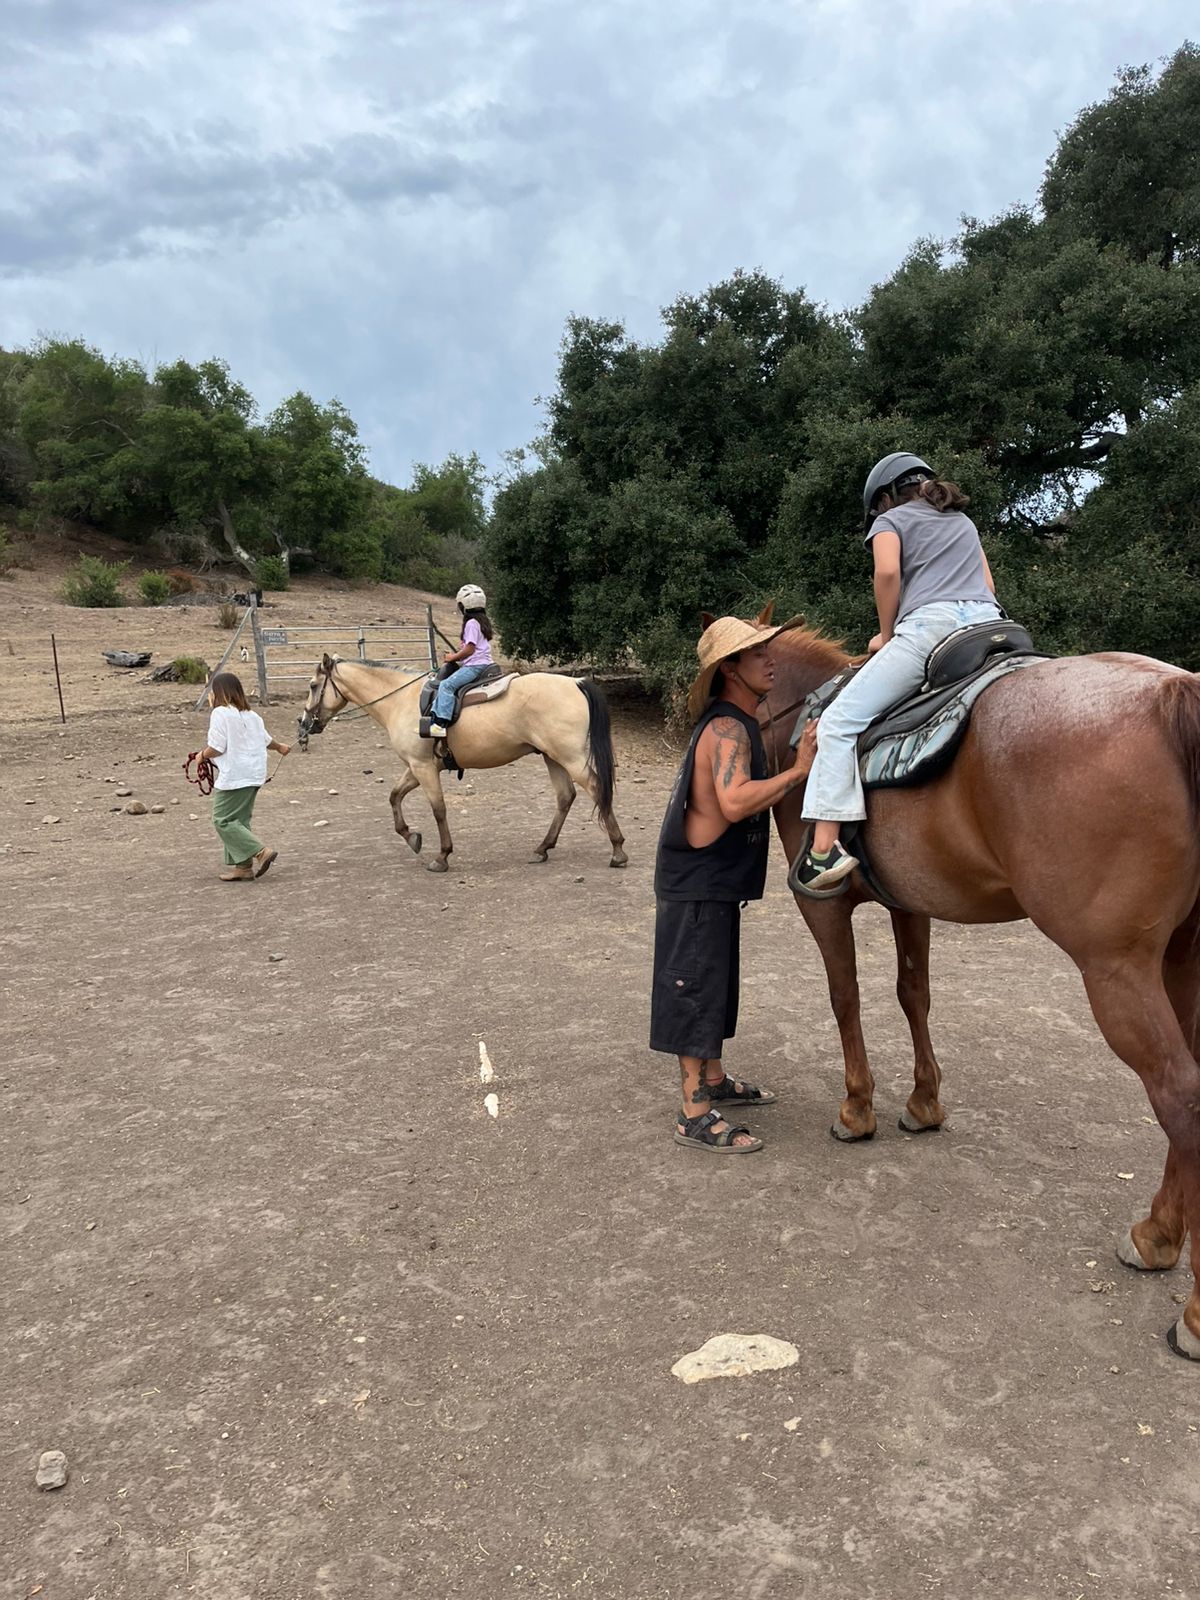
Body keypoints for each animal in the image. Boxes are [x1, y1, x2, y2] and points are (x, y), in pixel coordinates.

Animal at [297, 655, 628, 873]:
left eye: (313, 685)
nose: (304, 723)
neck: (402, 700)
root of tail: (576, 682)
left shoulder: (423, 768)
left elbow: (439, 810)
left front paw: (442, 856)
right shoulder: (417, 767)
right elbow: (394, 796)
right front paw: (412, 837)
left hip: (570, 757)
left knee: (596, 788)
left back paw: (618, 851)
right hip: (552, 757)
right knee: (565, 797)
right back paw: (542, 848)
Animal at [759, 620, 1200, 1360]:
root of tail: (1175, 693)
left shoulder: (823, 908)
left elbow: (845, 997)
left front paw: (858, 1109)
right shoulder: (909, 903)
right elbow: (913, 994)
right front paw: (923, 1103)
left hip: (1118, 970)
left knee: (1179, 1095)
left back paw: (1191, 1309)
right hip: (1180, 959)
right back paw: (1156, 1236)